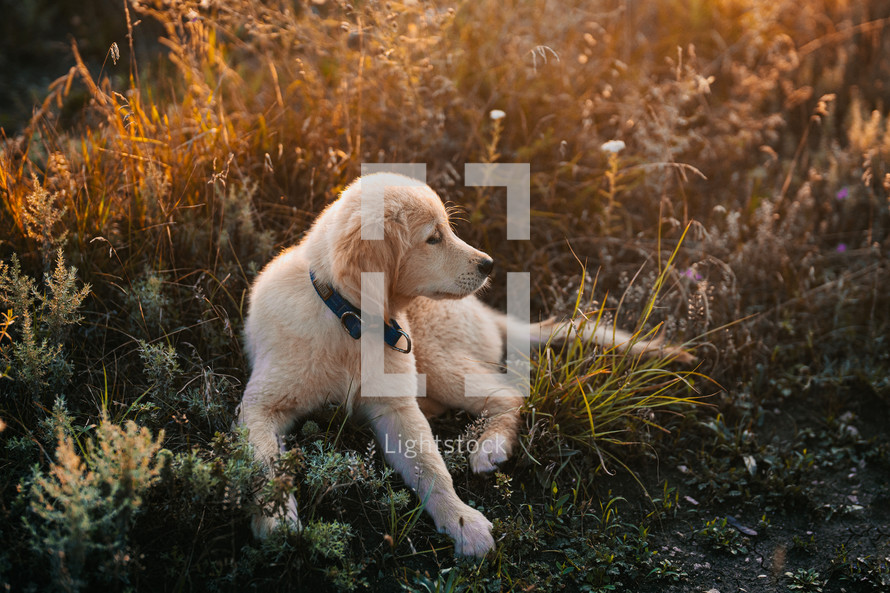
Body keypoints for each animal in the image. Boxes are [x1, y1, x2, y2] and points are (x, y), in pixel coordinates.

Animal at [236, 170, 688, 556]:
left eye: (447, 229)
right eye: (433, 238)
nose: (489, 264)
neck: (350, 319)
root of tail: (487, 312)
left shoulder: (396, 407)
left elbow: (433, 468)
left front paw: (462, 522)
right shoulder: (259, 404)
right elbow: (262, 462)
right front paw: (276, 518)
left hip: (436, 360)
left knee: (507, 395)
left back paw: (490, 446)